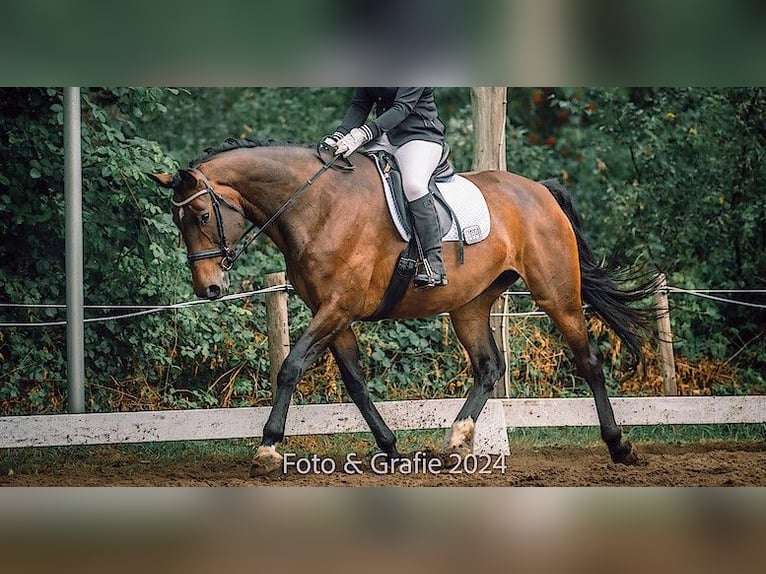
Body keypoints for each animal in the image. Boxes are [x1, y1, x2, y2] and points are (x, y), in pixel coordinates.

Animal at [149, 138, 660, 477]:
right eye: (177, 219)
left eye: (200, 215)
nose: (209, 288)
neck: (315, 205)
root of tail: (537, 190)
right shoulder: (334, 315)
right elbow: (355, 382)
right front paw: (391, 449)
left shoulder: (337, 308)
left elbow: (291, 367)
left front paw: (269, 447)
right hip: (469, 305)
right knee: (489, 368)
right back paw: (455, 442)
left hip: (557, 295)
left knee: (588, 360)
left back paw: (619, 447)